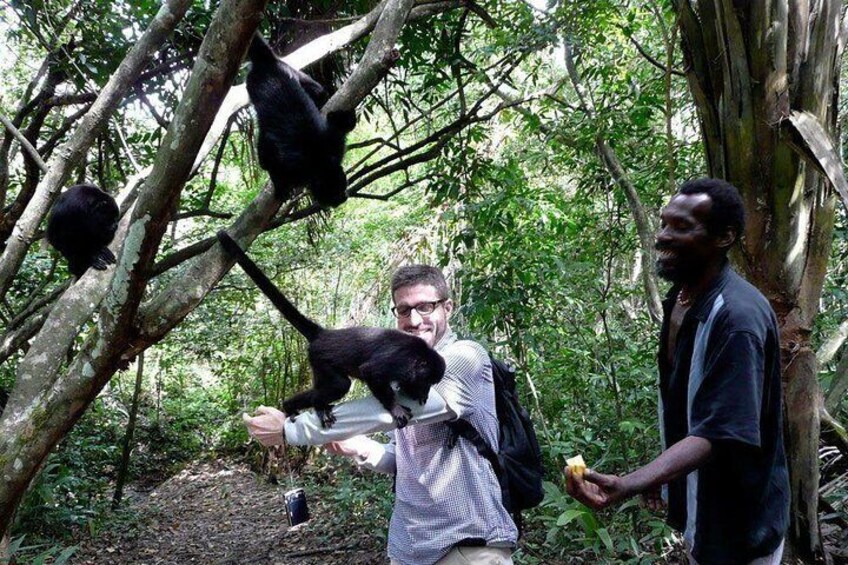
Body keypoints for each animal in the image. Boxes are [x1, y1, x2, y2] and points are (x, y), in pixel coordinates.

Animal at [217, 229, 444, 428]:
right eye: (426, 381)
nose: (425, 392)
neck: (419, 356)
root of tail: (324, 334)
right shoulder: (399, 361)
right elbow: (370, 371)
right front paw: (395, 408)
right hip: (320, 357)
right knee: (340, 385)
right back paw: (312, 405)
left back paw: (291, 406)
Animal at [243, 34, 356, 208]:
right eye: (334, 194)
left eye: (343, 185)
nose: (343, 197)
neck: (319, 160)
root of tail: (268, 61)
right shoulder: (293, 168)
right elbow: (267, 161)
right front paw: (279, 187)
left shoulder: (333, 146)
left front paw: (344, 119)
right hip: (252, 83)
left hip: (291, 70)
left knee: (319, 91)